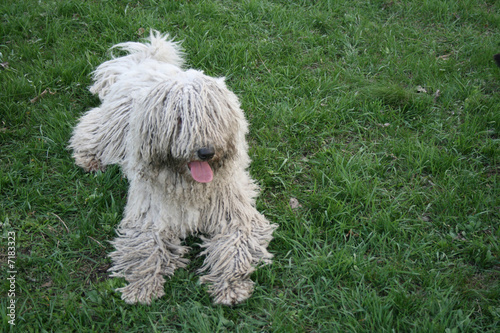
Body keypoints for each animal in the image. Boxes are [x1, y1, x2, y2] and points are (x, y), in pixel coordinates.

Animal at [70, 30, 278, 304]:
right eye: (179, 119)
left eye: (212, 116)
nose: (206, 151)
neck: (190, 186)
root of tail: (144, 63)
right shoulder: (151, 216)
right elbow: (145, 249)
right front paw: (142, 286)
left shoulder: (234, 215)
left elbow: (234, 248)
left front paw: (230, 284)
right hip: (111, 127)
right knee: (90, 127)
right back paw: (89, 158)